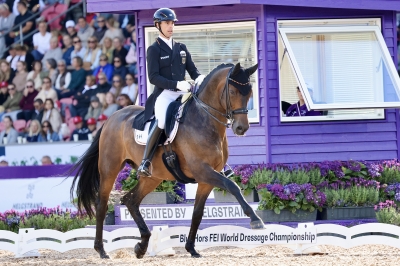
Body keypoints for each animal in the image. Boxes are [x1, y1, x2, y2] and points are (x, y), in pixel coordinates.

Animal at [70, 61, 264, 258]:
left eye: (250, 92)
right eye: (232, 91)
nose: (241, 128)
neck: (204, 121)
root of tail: (112, 118)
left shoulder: (206, 179)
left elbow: (197, 213)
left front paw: (191, 248)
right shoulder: (202, 171)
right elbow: (233, 186)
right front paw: (256, 220)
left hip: (152, 177)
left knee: (130, 201)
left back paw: (142, 246)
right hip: (110, 168)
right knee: (102, 204)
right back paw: (101, 250)